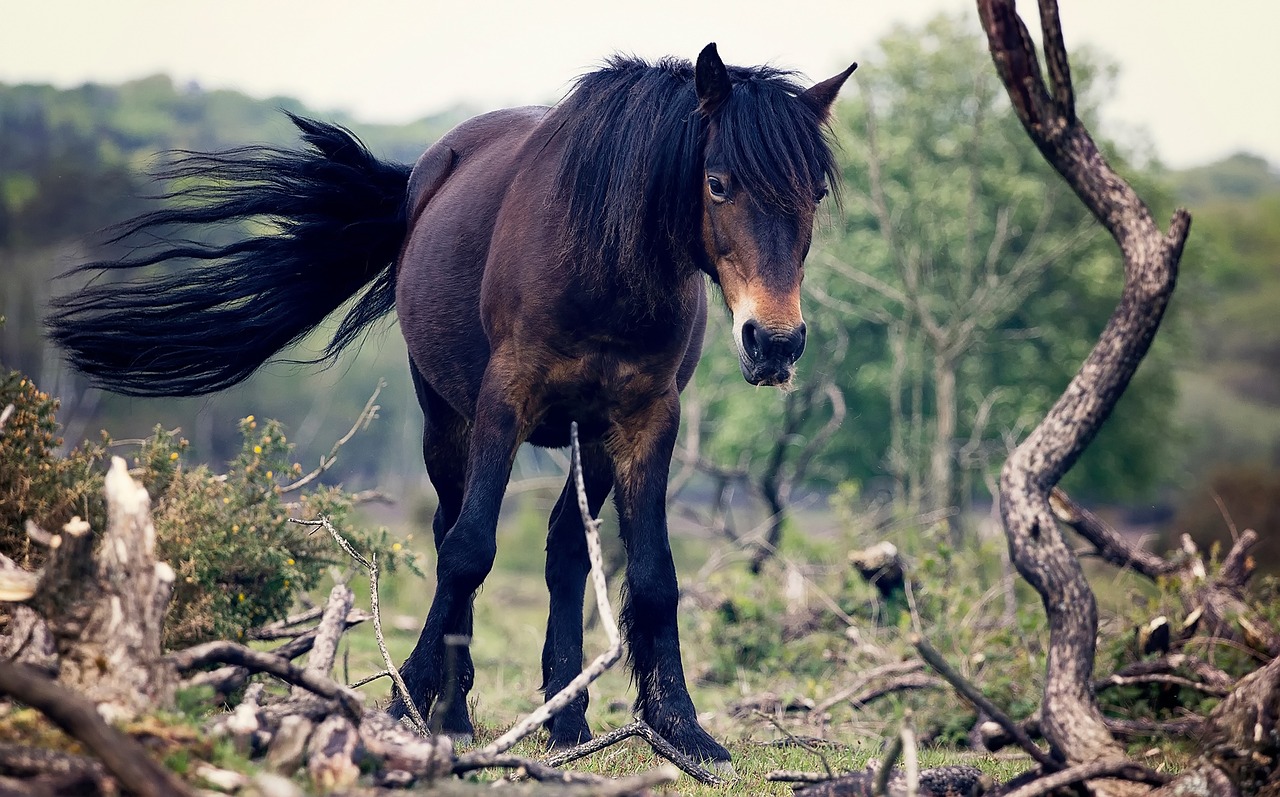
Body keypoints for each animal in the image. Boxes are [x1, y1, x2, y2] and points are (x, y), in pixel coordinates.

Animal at [49, 45, 855, 767]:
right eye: (718, 182)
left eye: (814, 194)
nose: (774, 342)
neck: (602, 264)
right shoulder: (504, 403)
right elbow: (469, 549)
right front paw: (408, 700)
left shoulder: (646, 418)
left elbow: (654, 573)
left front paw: (682, 728)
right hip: (447, 417)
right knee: (450, 530)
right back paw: (455, 709)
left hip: (586, 437)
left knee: (565, 550)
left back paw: (566, 719)